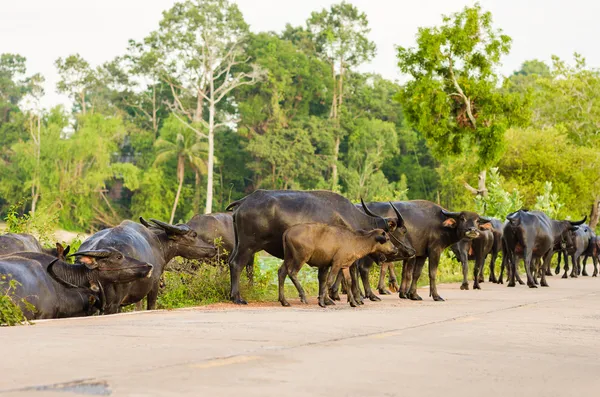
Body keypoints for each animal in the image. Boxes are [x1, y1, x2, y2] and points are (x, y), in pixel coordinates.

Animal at [74, 217, 216, 312]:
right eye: (194, 234)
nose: (213, 248)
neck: (158, 244)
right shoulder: (154, 285)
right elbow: (150, 306)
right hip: (111, 304)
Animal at [225, 189, 412, 304]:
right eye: (402, 230)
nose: (411, 251)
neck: (353, 219)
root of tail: (244, 201)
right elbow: (349, 272)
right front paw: (353, 298)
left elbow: (326, 277)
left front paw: (331, 298)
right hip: (248, 246)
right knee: (237, 264)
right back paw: (237, 297)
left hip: (241, 245)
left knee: (232, 262)